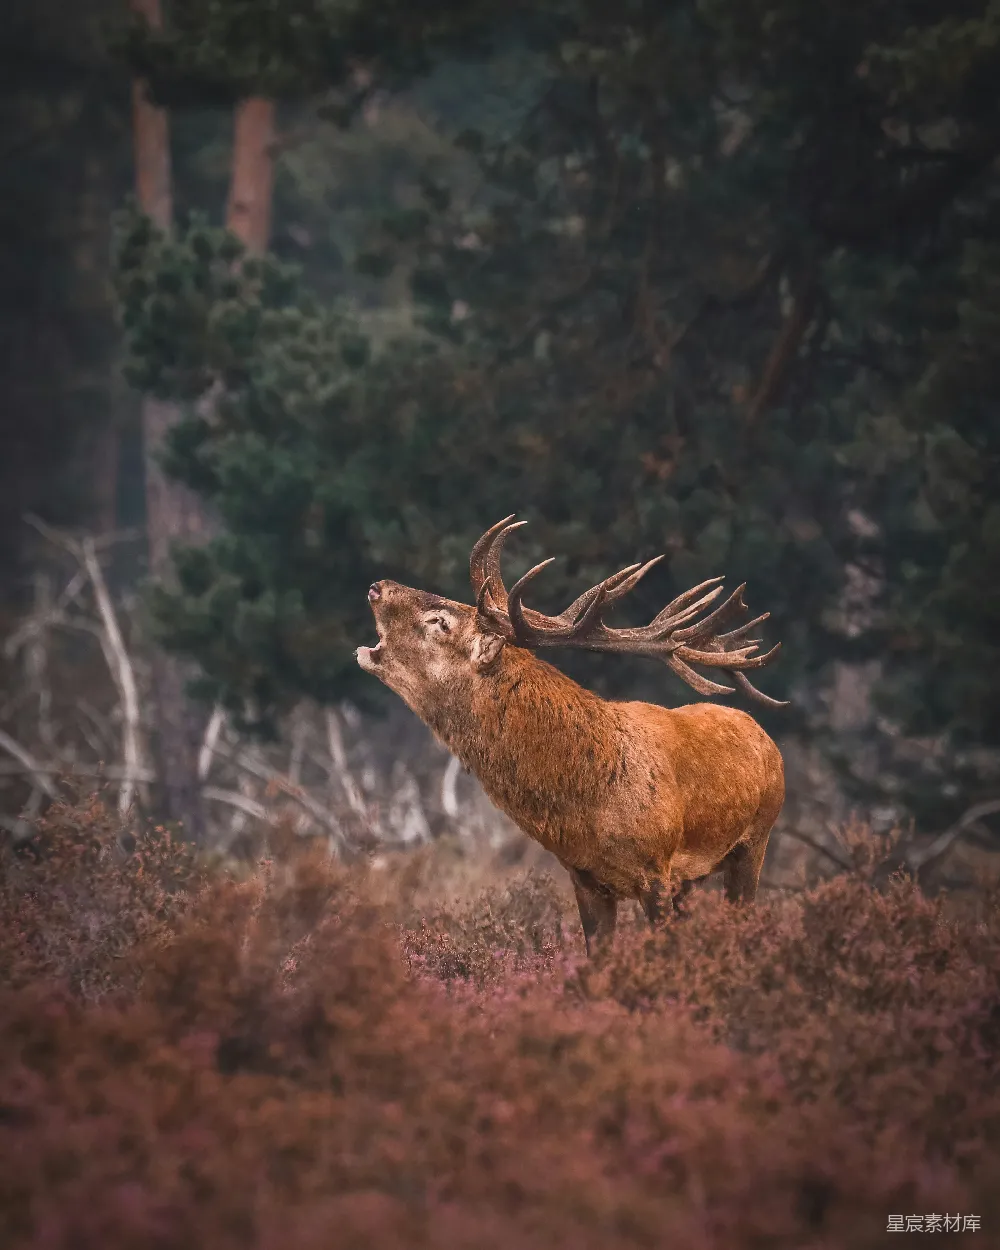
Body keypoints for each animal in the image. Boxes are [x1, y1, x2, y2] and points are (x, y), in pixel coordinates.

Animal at [356, 516, 788, 956]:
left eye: (440, 621)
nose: (377, 586)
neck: (590, 803)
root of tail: (762, 733)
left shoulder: (657, 870)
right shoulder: (585, 879)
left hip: (756, 841)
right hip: (695, 878)